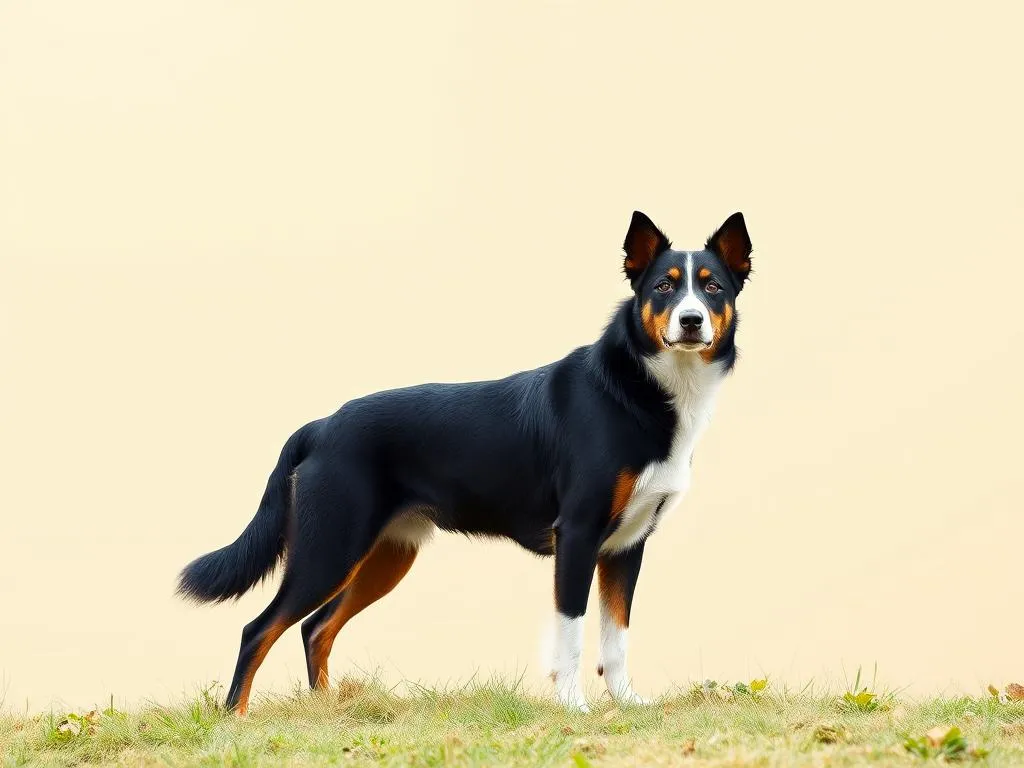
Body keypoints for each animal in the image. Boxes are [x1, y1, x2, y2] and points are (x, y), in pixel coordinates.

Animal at [176, 208, 753, 716]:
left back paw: (325, 712)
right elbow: (571, 631)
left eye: (713, 288)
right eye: (664, 287)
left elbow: (617, 636)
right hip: (330, 547)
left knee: (314, 628)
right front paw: (574, 706)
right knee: (259, 629)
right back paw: (236, 720)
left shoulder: (627, 545)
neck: (644, 391)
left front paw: (628, 704)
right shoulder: (579, 534)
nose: (691, 320)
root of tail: (321, 427)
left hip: (384, 556)